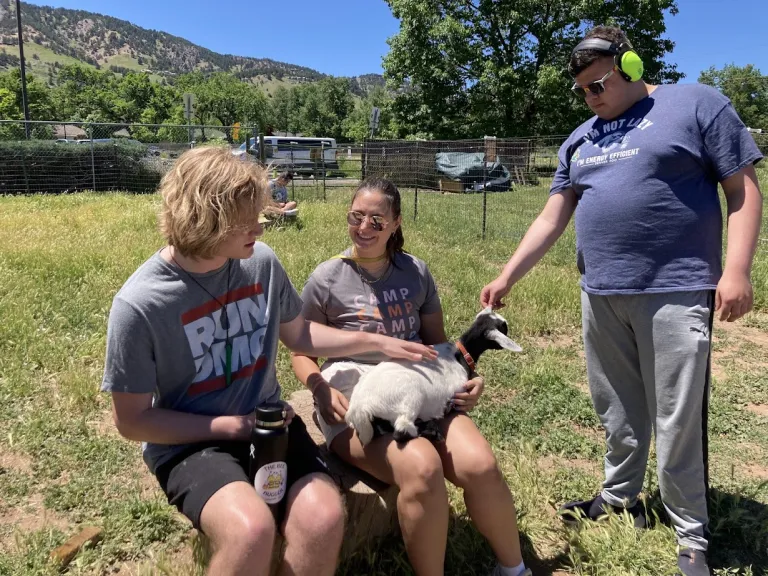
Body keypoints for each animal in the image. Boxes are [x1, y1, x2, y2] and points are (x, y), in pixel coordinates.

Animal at [346, 306, 520, 446]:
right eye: (504, 327)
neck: (460, 355)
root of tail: (359, 407)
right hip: (410, 397)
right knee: (401, 430)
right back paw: (432, 431)